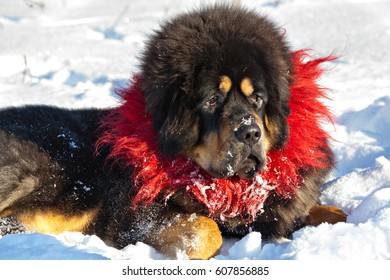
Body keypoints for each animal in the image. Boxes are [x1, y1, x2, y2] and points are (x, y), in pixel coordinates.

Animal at [0, 4, 346, 258]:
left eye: (256, 99)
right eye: (212, 100)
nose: (249, 133)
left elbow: (334, 212)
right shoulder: (134, 216)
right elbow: (207, 230)